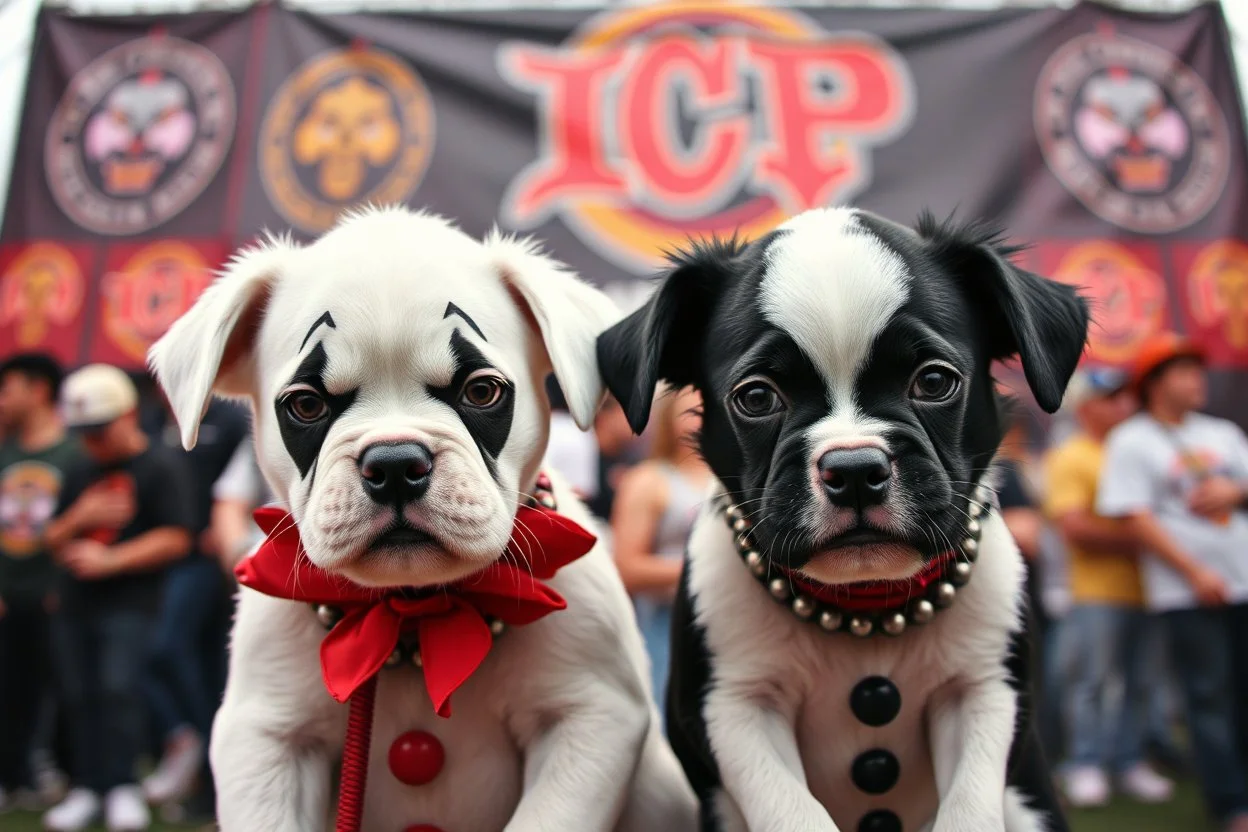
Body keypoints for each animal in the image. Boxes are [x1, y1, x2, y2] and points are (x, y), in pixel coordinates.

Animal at [151, 207, 698, 832]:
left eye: (482, 391)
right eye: (306, 405)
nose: (394, 464)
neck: (415, 612)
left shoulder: (587, 717)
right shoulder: (266, 738)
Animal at [594, 208, 1083, 832]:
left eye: (934, 381)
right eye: (756, 397)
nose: (853, 469)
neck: (864, 605)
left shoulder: (982, 693)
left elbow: (969, 810)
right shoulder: (737, 708)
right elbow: (793, 811)